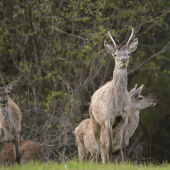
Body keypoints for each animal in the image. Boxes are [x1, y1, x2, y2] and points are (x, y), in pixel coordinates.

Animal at [90, 28, 138, 163]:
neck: (118, 104)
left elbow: (122, 145)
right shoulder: (108, 117)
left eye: (129, 53)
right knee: (98, 146)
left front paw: (124, 163)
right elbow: (110, 146)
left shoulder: (124, 117)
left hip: (109, 125)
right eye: (115, 54)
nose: (123, 60)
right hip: (94, 119)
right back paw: (98, 163)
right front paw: (108, 164)